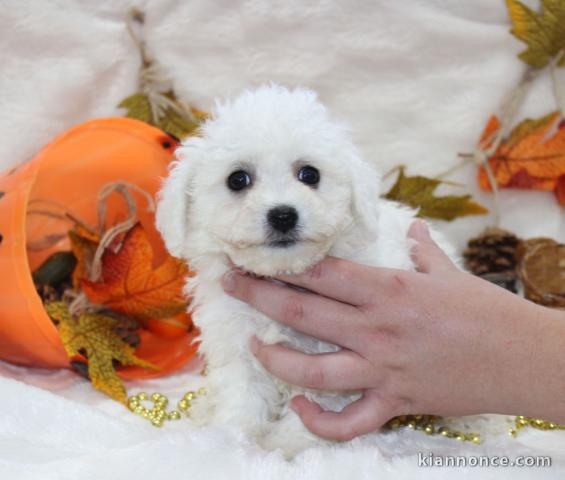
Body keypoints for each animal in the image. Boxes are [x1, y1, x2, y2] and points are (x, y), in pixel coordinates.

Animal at [155, 83, 458, 458]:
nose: (283, 214)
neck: (284, 276)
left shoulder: (334, 362)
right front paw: (235, 438)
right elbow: (243, 395)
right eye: (238, 180)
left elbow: (312, 404)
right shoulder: (237, 342)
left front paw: (290, 445)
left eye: (310, 175)